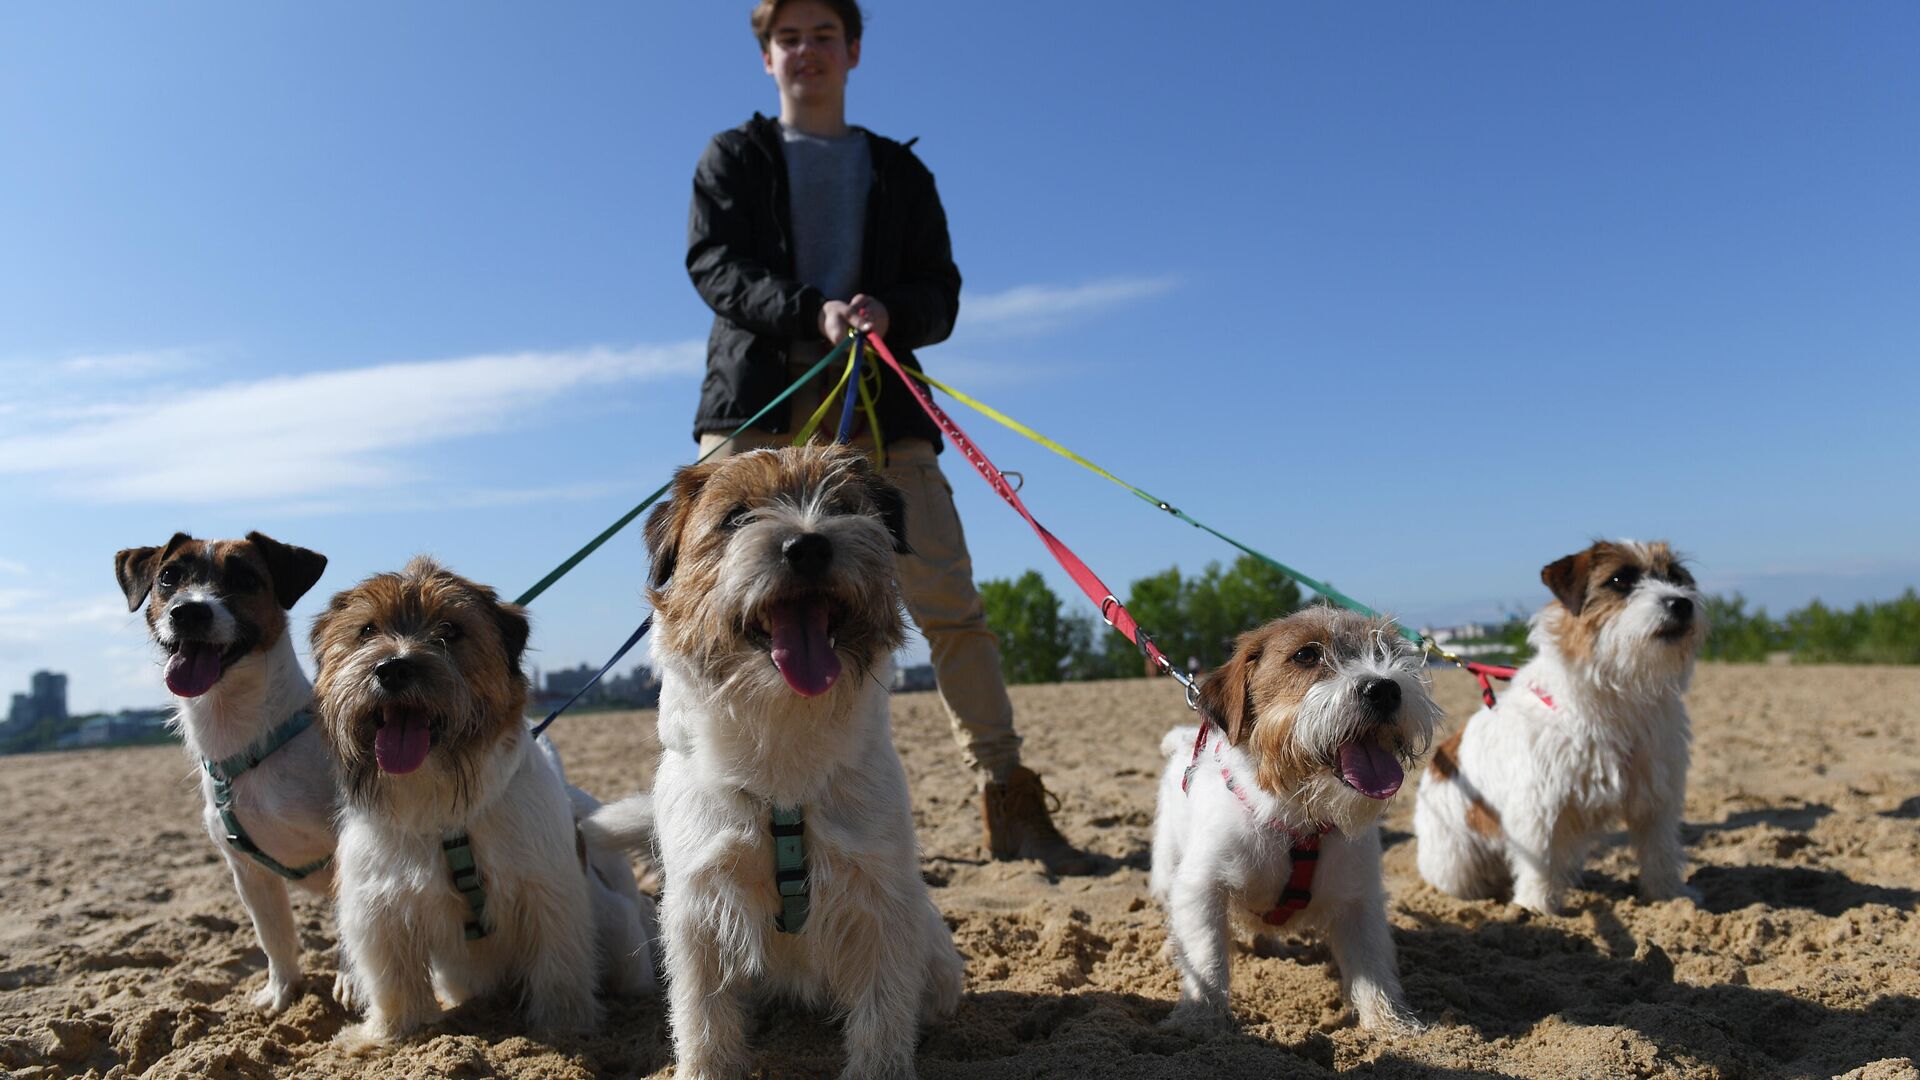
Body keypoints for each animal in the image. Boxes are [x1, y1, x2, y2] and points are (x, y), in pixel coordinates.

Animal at [114, 526, 337, 1006]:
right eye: (168, 577)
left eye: (245, 579)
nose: (189, 611)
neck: (249, 741)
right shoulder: (248, 872)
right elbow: (273, 935)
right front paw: (282, 990)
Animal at [307, 553, 652, 1045]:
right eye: (367, 630)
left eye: (450, 630)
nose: (392, 669)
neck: (443, 805)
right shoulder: (381, 909)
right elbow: (393, 979)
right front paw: (389, 1034)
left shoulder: (546, 893)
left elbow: (559, 966)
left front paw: (564, 1026)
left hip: (620, 934)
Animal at [587, 443, 960, 1076]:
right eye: (736, 517)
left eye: (842, 507)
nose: (808, 545)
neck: (783, 728)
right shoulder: (700, 904)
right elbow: (702, 1015)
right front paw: (706, 1069)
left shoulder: (880, 897)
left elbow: (883, 1009)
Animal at [1136, 599, 1443, 1030]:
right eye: (1306, 655)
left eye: (1388, 650)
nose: (1384, 688)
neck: (1297, 818)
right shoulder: (1201, 887)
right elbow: (1206, 958)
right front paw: (1198, 1022)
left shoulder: (1360, 899)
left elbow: (1372, 967)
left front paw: (1390, 1026)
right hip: (1167, 867)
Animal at [1413, 538, 1712, 907]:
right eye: (1619, 580)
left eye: (1675, 576)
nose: (1681, 603)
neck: (1618, 692)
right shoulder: (1538, 806)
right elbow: (1538, 859)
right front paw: (1536, 906)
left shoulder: (1655, 796)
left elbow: (1661, 850)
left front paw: (1671, 896)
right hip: (1454, 863)